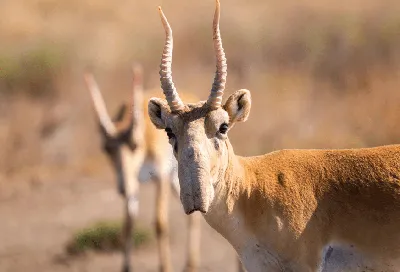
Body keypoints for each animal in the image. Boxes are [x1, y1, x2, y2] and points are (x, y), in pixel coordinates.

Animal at [85, 66, 203, 272]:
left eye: (135, 144)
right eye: (106, 148)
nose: (122, 188)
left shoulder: (160, 177)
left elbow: (160, 223)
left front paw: (165, 267)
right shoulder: (135, 183)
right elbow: (128, 224)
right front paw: (126, 267)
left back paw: (191, 265)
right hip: (175, 180)